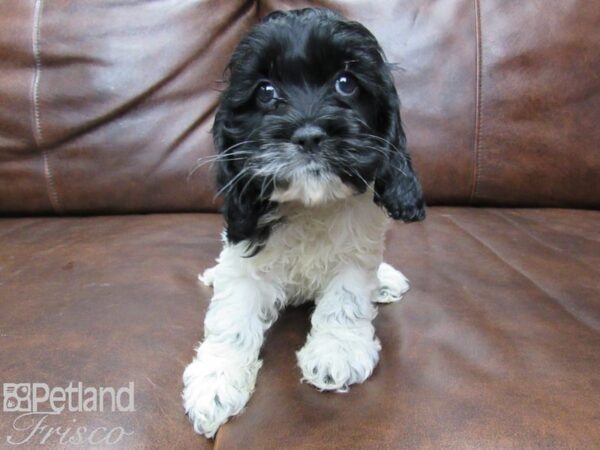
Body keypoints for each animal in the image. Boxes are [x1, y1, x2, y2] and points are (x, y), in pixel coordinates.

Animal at [182, 6, 422, 436]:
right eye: (264, 91)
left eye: (346, 82)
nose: (309, 135)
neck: (312, 205)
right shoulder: (245, 257)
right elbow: (231, 317)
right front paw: (216, 381)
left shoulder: (357, 253)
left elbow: (346, 300)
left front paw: (337, 351)